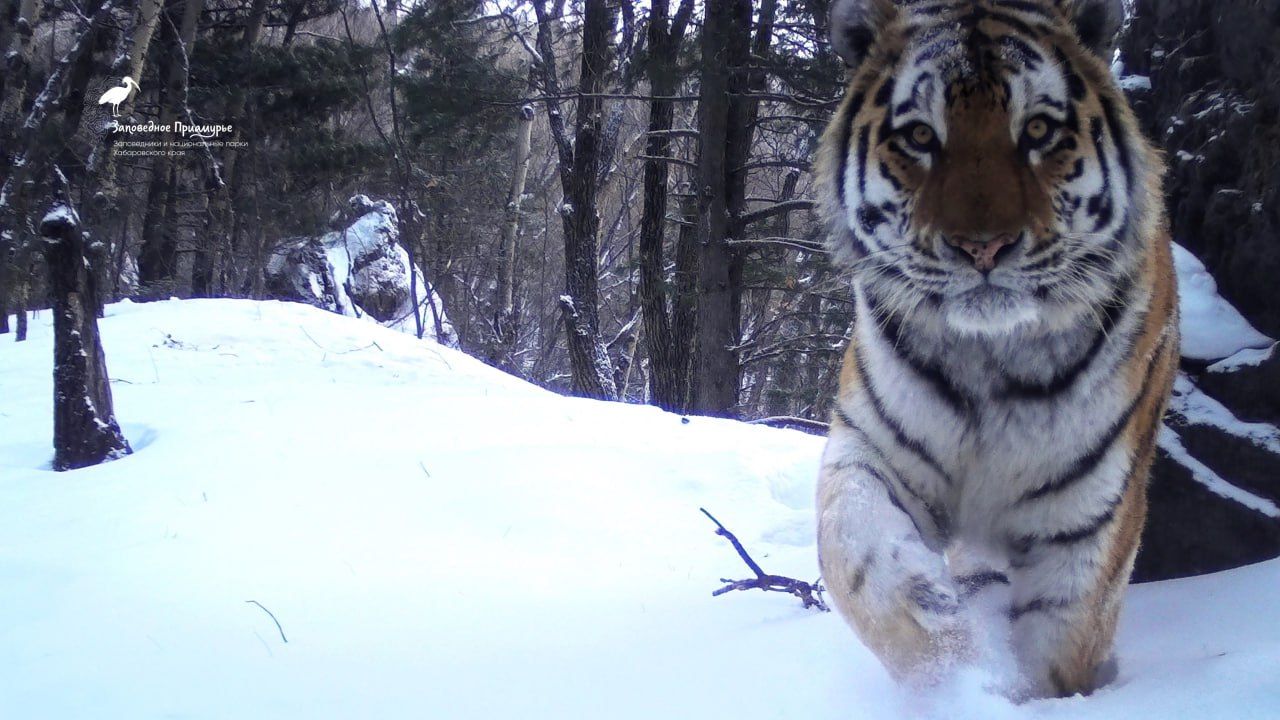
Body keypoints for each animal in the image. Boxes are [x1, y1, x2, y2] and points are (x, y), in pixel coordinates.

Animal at [814, 0, 1172, 696]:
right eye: (920, 137)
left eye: (1037, 129)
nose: (983, 247)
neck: (991, 361)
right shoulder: (872, 443)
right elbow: (855, 547)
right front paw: (947, 652)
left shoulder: (1087, 515)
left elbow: (1060, 639)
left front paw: (1016, 690)